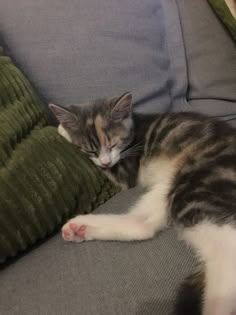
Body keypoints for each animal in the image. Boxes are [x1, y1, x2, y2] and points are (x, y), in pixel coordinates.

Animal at [48, 92, 236, 315]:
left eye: (112, 144)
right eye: (91, 150)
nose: (104, 161)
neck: (133, 129)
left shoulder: (125, 173)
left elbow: (116, 174)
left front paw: (61, 128)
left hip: (197, 188)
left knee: (226, 247)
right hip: (172, 185)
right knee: (142, 225)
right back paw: (80, 228)